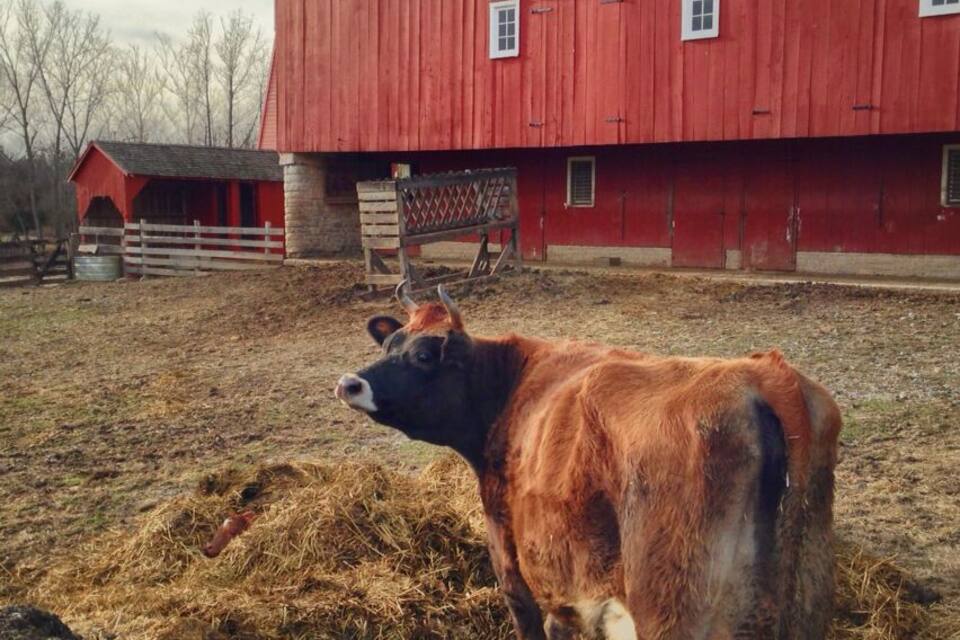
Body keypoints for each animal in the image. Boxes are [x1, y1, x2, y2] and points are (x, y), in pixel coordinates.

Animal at [335, 285, 841, 640]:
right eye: (390, 343)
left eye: (423, 354)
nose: (350, 383)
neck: (515, 384)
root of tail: (768, 376)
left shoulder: (511, 560)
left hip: (672, 607)